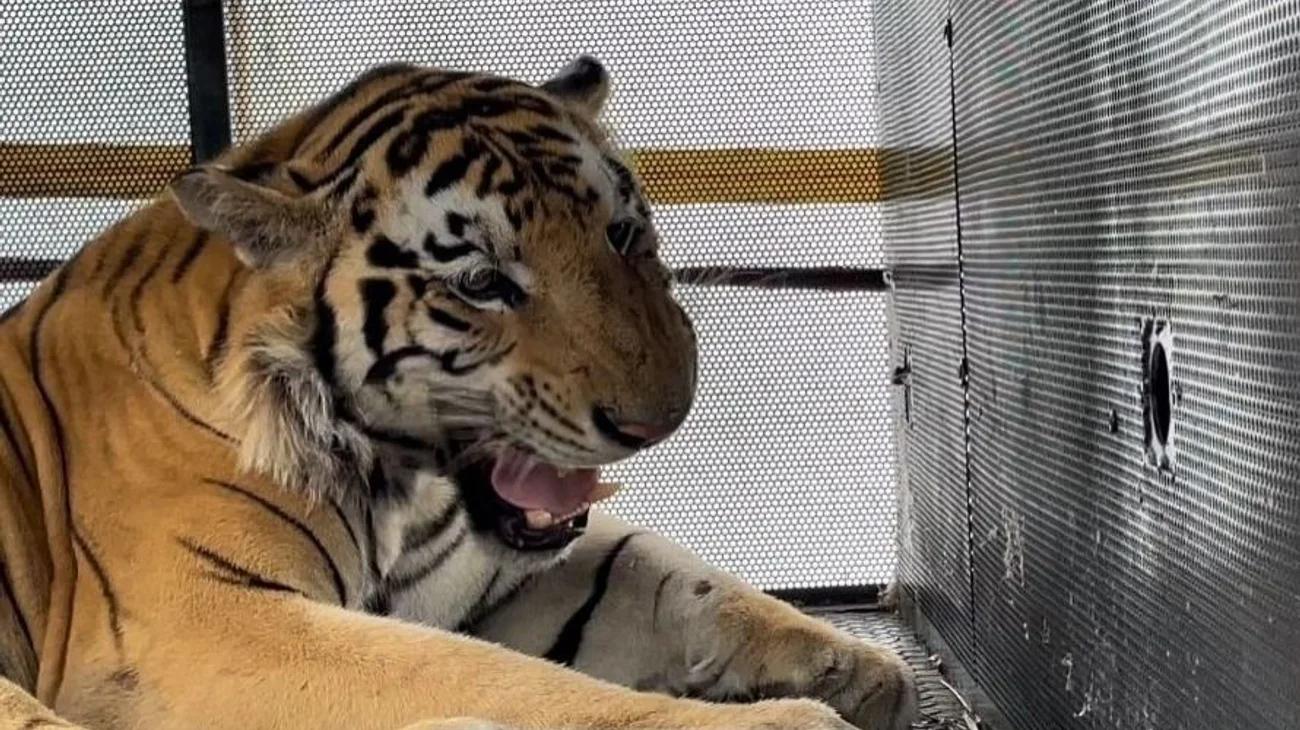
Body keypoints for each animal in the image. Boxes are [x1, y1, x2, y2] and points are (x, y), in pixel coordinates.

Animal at [0, 56, 917, 730]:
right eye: (481, 283)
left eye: (623, 234)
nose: (659, 421)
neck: (398, 485)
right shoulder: (209, 617)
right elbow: (512, 685)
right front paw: (788, 719)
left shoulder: (495, 572)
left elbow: (668, 572)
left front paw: (857, 668)